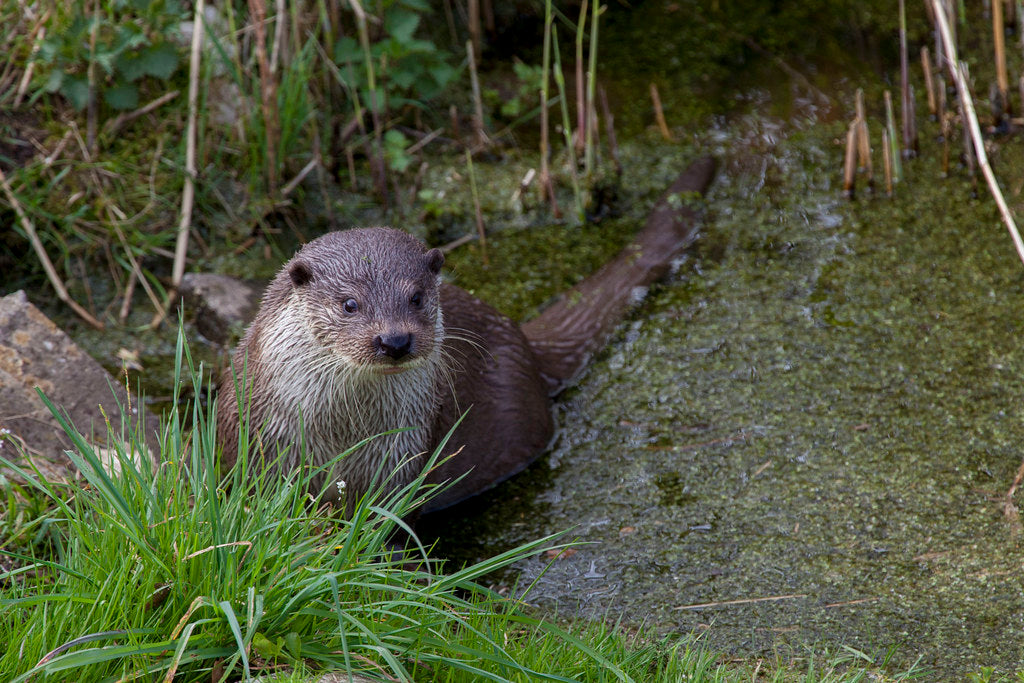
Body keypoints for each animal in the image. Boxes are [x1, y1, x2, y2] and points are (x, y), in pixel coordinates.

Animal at [214, 157, 720, 516]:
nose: (394, 341)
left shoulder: (401, 453)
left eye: (417, 297)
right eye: (349, 304)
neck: (342, 435)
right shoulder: (257, 439)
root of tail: (523, 344)